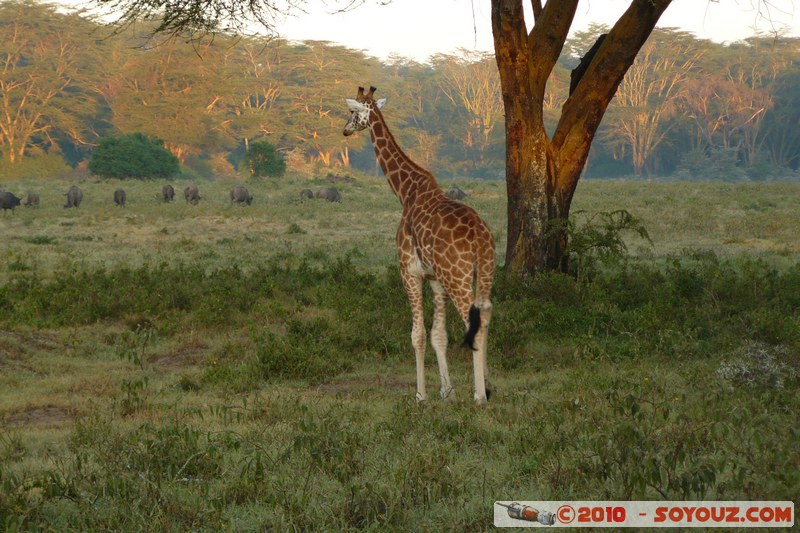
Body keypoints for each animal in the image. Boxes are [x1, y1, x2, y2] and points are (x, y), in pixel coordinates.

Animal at [342, 86, 494, 404]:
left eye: (351, 111)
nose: (345, 130)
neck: (406, 192)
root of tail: (479, 237)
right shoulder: (434, 278)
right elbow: (439, 335)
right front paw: (447, 391)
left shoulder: (409, 272)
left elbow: (418, 335)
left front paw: (421, 395)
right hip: (484, 271)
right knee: (485, 315)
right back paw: (486, 386)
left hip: (457, 276)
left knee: (472, 321)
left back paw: (479, 396)